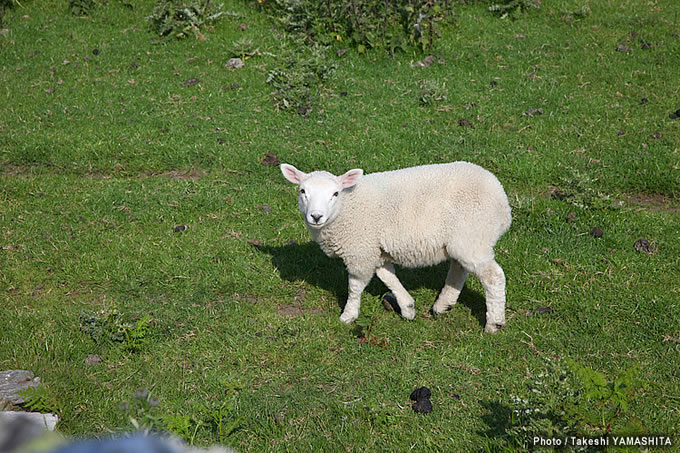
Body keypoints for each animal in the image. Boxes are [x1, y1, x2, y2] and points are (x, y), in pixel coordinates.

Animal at [280, 162, 510, 332]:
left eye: (335, 193)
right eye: (303, 191)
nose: (316, 216)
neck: (346, 208)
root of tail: (502, 200)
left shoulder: (360, 250)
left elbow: (354, 287)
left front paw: (348, 315)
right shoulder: (376, 250)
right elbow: (388, 276)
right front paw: (408, 307)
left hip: (473, 236)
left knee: (494, 277)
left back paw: (494, 323)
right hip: (463, 240)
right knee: (459, 267)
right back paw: (443, 304)